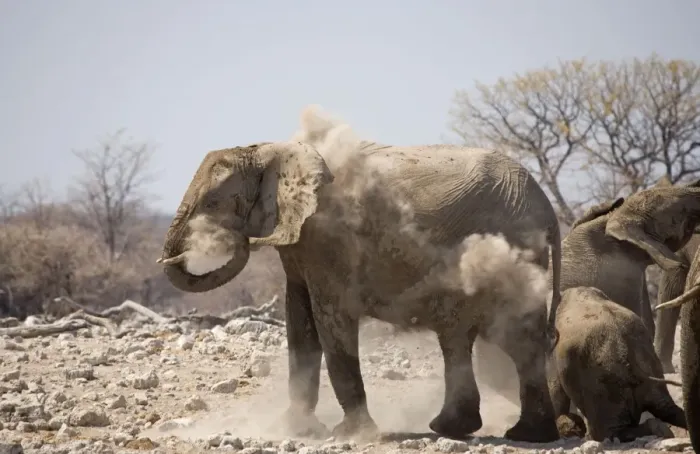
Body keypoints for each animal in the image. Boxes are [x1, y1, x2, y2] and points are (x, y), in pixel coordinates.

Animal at [156, 107, 563, 442]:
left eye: (212, 204)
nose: (235, 240)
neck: (271, 151)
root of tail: (548, 208)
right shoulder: (301, 248)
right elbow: (299, 324)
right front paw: (299, 430)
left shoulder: (328, 241)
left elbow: (330, 321)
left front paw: (350, 434)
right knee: (459, 336)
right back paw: (464, 430)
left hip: (516, 246)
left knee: (515, 336)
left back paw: (524, 436)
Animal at [549, 286, 687, 442]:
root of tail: (627, 352)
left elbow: (555, 388)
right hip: (648, 367)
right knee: (667, 409)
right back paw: (664, 430)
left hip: (604, 382)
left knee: (607, 431)